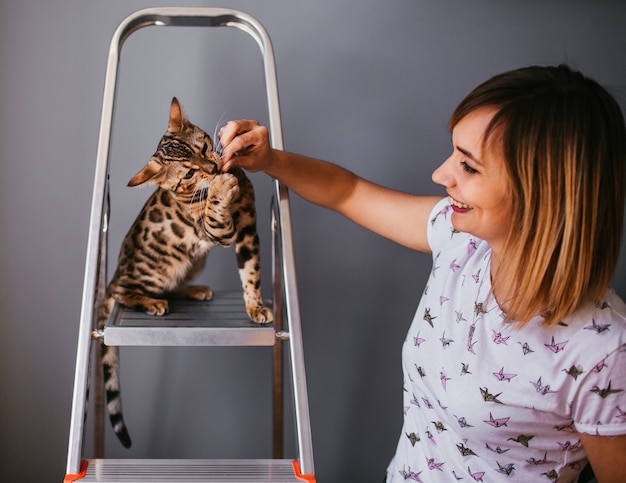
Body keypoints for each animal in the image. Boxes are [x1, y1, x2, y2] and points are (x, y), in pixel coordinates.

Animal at [96, 96, 272, 448]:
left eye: (204, 147)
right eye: (189, 173)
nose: (214, 169)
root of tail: (116, 271)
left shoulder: (248, 228)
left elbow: (251, 272)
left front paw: (255, 306)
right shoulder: (219, 230)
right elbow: (216, 209)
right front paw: (220, 187)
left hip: (194, 261)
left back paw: (195, 290)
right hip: (156, 269)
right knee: (126, 290)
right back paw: (150, 302)